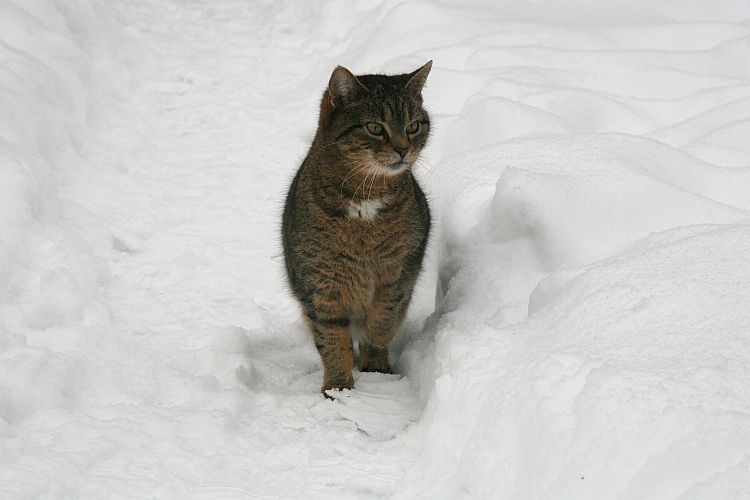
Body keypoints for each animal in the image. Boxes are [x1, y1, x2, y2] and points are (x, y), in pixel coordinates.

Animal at [282, 61, 432, 396]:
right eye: (375, 127)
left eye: (414, 125)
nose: (403, 149)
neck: (366, 196)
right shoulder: (321, 282)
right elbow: (332, 339)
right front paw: (338, 387)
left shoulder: (397, 272)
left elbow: (382, 321)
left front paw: (375, 368)